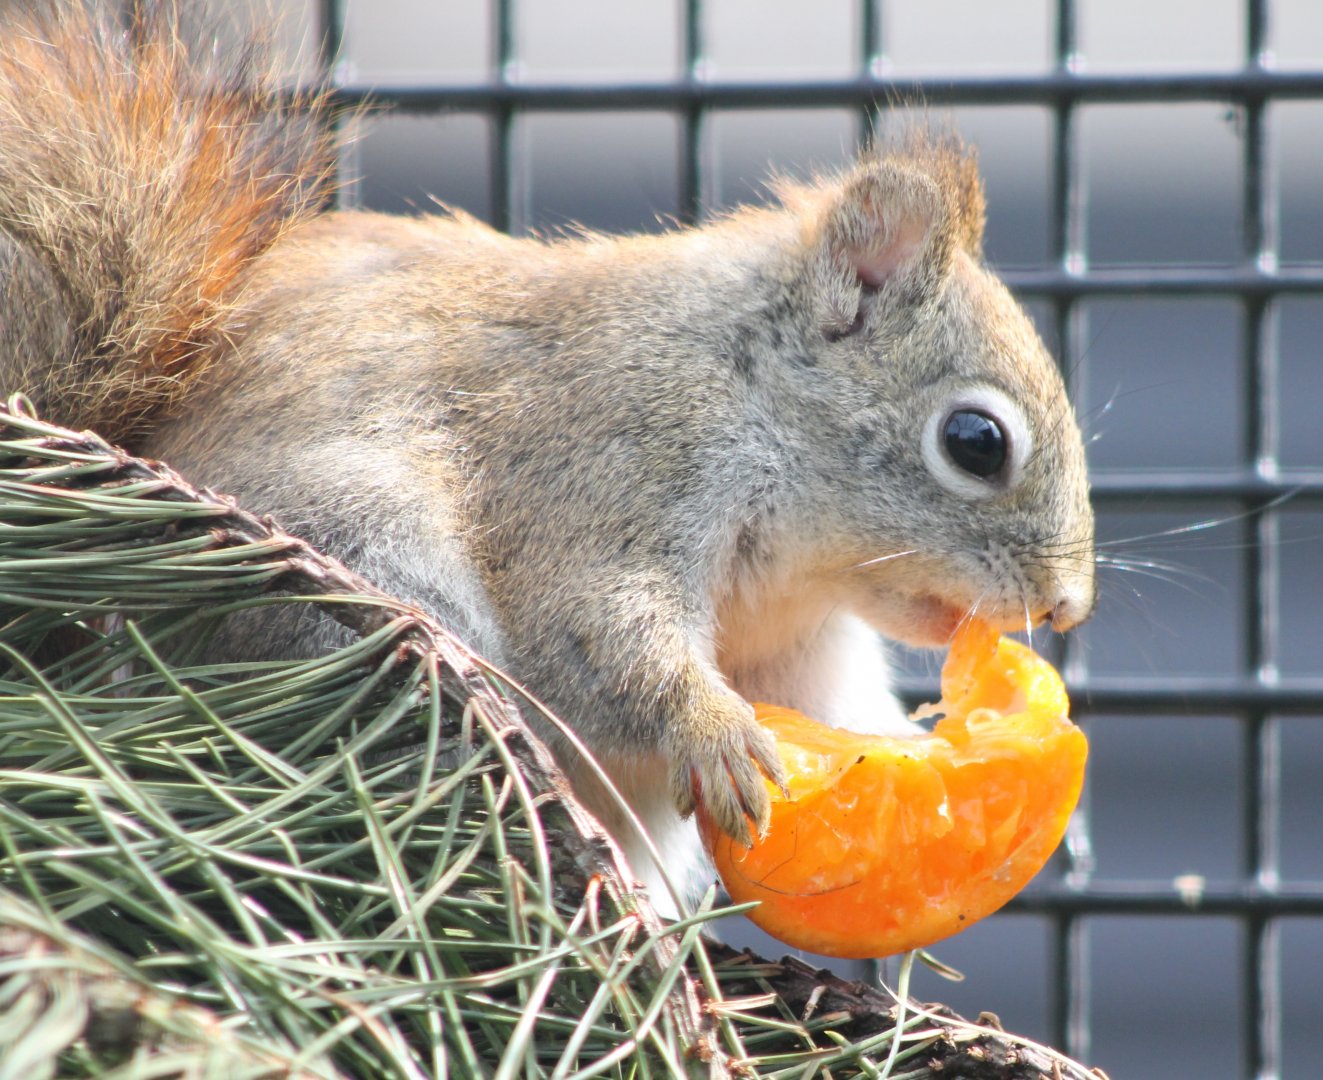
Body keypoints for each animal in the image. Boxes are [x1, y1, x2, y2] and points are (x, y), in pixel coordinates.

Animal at [0, 2, 1095, 913]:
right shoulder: (611, 465)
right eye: (975, 442)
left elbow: (831, 716)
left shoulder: (795, 645)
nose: (1066, 607)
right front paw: (717, 732)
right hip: (355, 574)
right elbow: (605, 633)